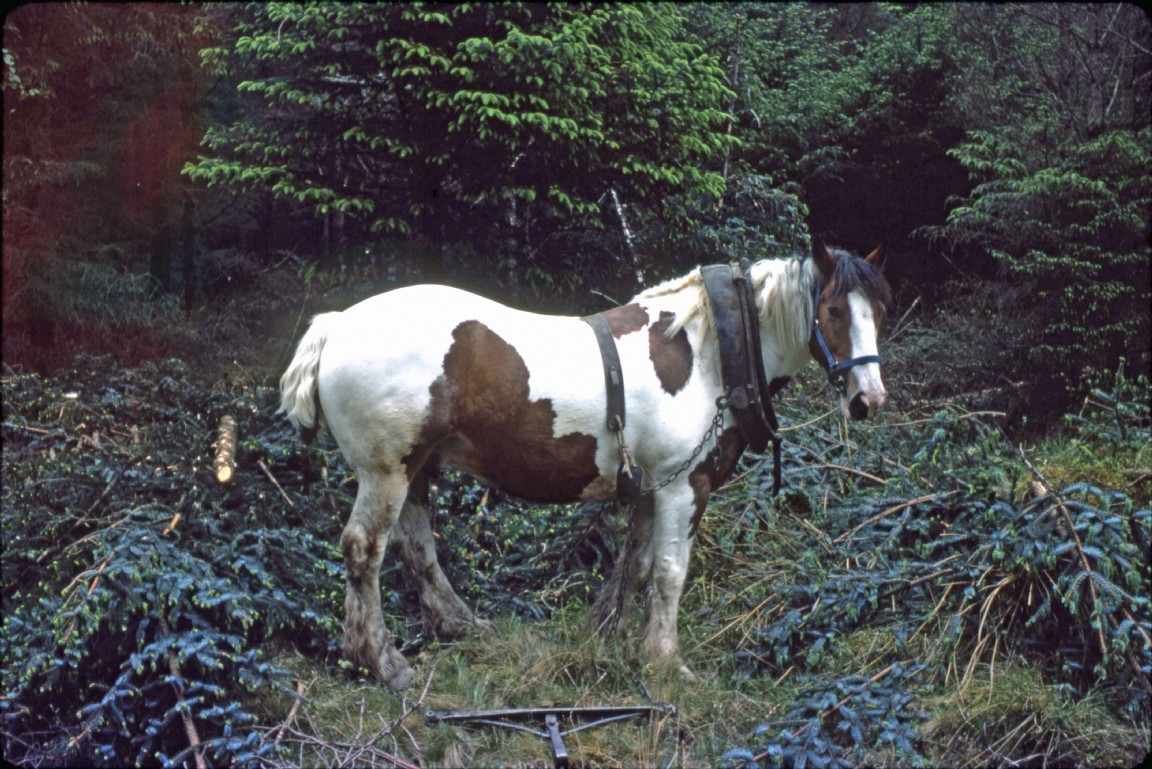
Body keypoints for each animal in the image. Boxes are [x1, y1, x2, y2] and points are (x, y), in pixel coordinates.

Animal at [280, 240, 891, 689]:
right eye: (834, 311)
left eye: (878, 312)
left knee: (417, 547)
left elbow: (636, 566)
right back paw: (381, 662)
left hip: (416, 468)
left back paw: (458, 624)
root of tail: (335, 325)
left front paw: (612, 634)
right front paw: (665, 660)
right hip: (386, 470)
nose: (869, 399)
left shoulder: (653, 485)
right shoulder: (685, 486)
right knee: (364, 551)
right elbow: (670, 572)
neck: (707, 352)